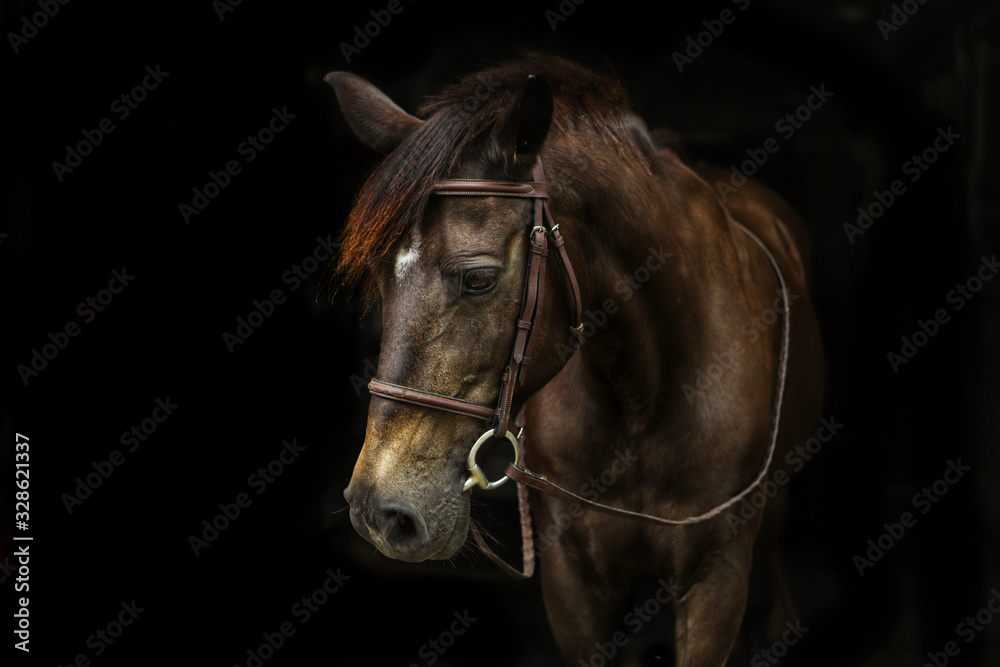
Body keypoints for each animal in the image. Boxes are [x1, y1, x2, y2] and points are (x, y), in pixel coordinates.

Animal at [326, 54, 824, 666]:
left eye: (479, 278)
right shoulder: (572, 581)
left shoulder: (717, 577)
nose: (379, 513)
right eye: (379, 276)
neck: (645, 397)